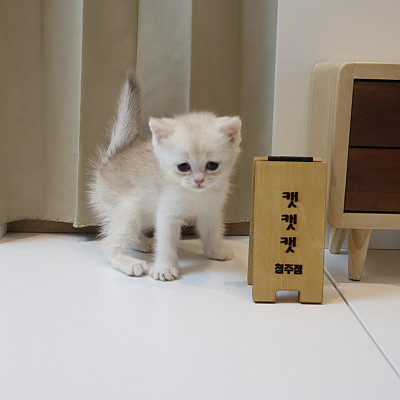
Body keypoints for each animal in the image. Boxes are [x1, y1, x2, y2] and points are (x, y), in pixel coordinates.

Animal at [89, 74, 241, 281]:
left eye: (212, 165)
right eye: (183, 166)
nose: (199, 181)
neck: (194, 194)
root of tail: (112, 157)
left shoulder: (210, 211)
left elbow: (212, 234)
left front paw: (215, 251)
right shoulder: (168, 214)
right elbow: (166, 244)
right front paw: (165, 268)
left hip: (143, 212)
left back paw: (142, 243)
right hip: (129, 209)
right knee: (108, 242)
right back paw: (130, 263)